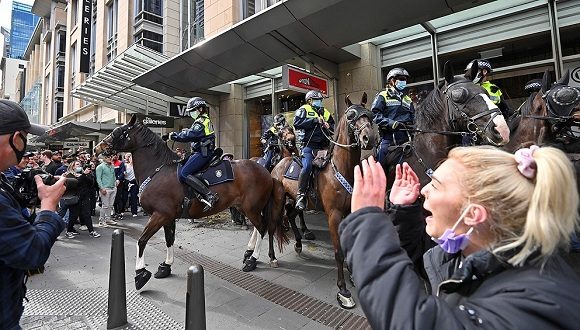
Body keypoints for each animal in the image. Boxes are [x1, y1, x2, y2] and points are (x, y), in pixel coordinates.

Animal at [93, 114, 290, 290]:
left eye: (118, 131)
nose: (97, 148)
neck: (158, 170)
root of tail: (266, 171)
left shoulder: (159, 215)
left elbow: (141, 241)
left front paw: (140, 274)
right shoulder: (167, 217)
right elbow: (169, 239)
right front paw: (166, 266)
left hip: (251, 208)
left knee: (262, 227)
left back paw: (252, 259)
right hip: (248, 207)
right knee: (259, 228)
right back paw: (252, 252)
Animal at [266, 93, 378, 310]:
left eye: (369, 114)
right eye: (351, 116)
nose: (369, 138)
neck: (341, 169)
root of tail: (279, 163)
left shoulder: (349, 212)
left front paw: (353, 277)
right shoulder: (334, 215)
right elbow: (338, 252)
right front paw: (343, 291)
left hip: (294, 201)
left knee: (292, 215)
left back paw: (299, 243)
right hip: (277, 202)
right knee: (271, 226)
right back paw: (272, 257)